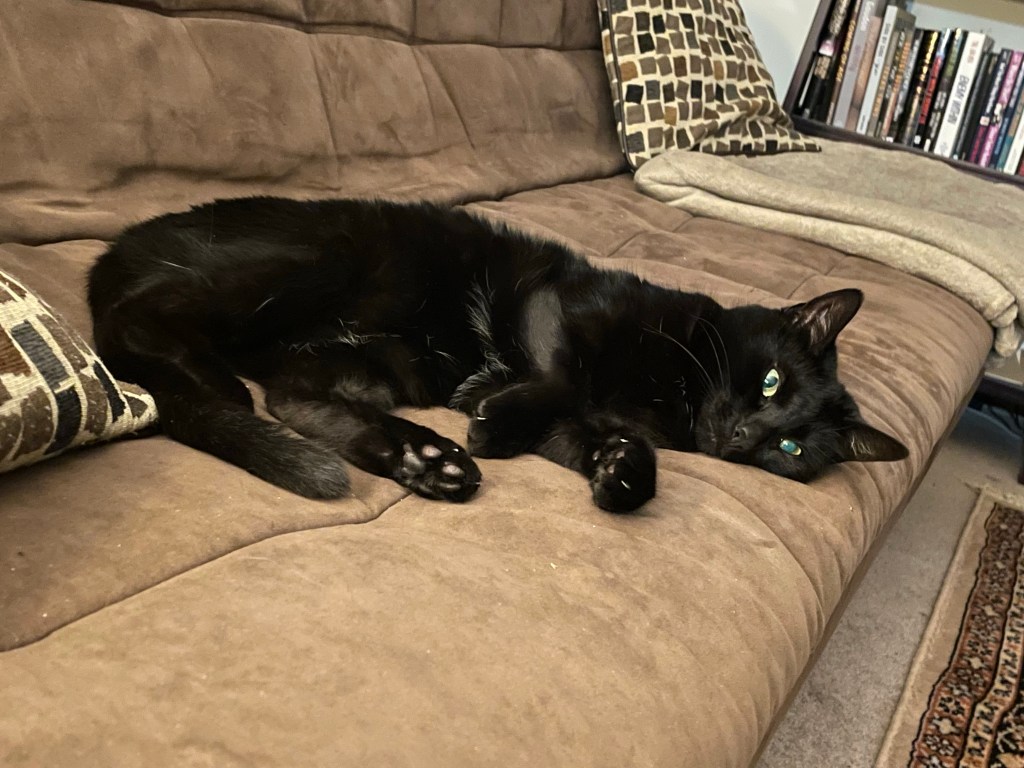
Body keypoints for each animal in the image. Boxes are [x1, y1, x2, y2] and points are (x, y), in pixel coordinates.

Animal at [88, 196, 908, 513]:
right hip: (309, 266)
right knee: (138, 324)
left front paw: (622, 472)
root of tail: (118, 244)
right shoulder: (558, 308)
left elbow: (587, 435)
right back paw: (207, 380)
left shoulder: (585, 420)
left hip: (368, 359)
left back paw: (426, 460)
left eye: (791, 448)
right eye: (771, 382)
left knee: (293, 398)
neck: (671, 393)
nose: (742, 436)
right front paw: (492, 417)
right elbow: (558, 376)